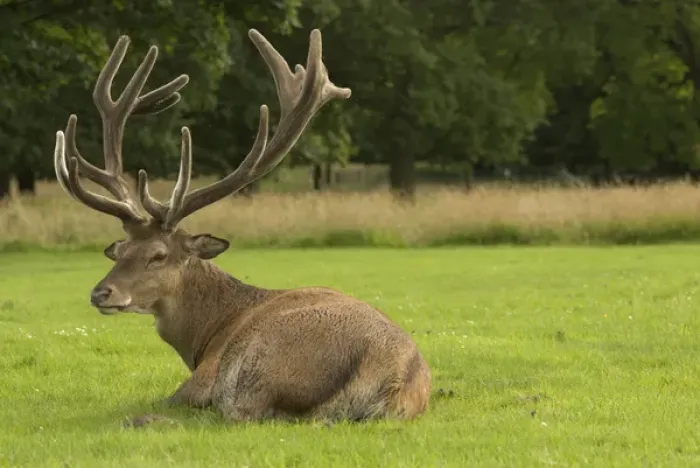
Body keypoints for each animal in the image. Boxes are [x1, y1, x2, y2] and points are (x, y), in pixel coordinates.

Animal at [52, 28, 431, 425]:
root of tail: (393, 375)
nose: (100, 293)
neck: (207, 333)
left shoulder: (206, 374)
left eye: (158, 255)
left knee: (237, 413)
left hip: (257, 368)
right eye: (120, 251)